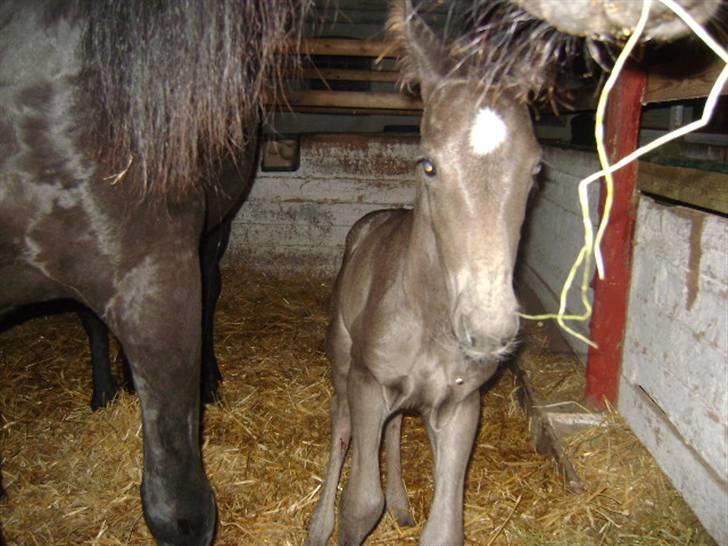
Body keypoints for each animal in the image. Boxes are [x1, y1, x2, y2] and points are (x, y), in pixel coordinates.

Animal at [0, 2, 308, 540]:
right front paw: (106, 392)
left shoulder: (156, 282)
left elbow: (179, 508)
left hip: (210, 233)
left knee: (210, 293)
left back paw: (209, 382)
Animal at [306, 2, 540, 540]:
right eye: (428, 164)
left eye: (536, 169)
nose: (488, 331)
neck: (430, 319)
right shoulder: (368, 385)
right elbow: (359, 503)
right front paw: (344, 521)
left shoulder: (461, 407)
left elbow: (445, 529)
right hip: (343, 363)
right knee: (341, 427)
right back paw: (318, 524)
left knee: (394, 428)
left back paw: (400, 502)